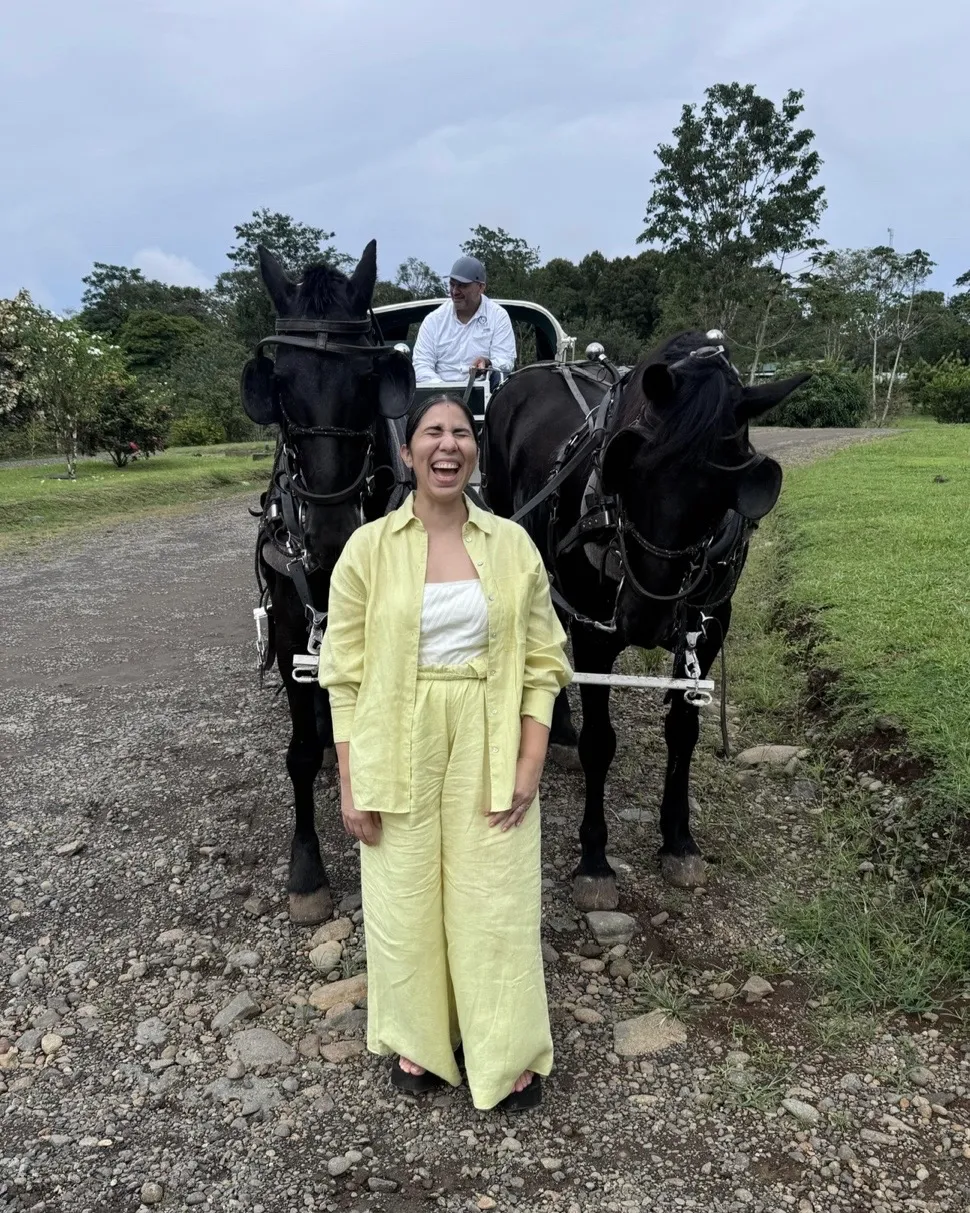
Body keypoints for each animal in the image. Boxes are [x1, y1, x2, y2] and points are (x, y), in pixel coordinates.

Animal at [240, 241, 414, 924]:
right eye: (280, 383)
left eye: (368, 379)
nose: (333, 539)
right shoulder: (293, 629)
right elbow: (301, 750)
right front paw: (307, 869)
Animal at [481, 330, 809, 911]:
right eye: (628, 469)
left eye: (727, 493)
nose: (645, 617)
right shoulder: (595, 631)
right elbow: (600, 742)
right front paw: (594, 861)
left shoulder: (707, 628)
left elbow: (684, 732)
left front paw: (679, 841)